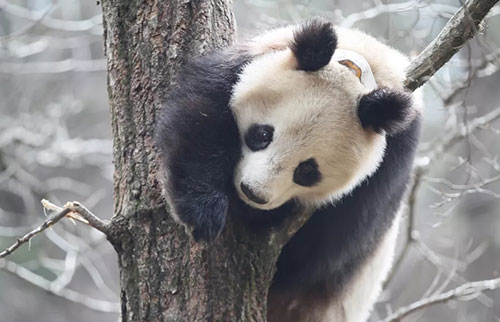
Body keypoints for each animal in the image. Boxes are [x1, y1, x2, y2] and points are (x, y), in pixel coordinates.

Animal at [156, 19, 422, 322]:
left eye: (307, 171)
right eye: (262, 134)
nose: (252, 193)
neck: (365, 66)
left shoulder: (384, 176)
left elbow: (312, 256)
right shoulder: (248, 60)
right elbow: (200, 115)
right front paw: (203, 212)